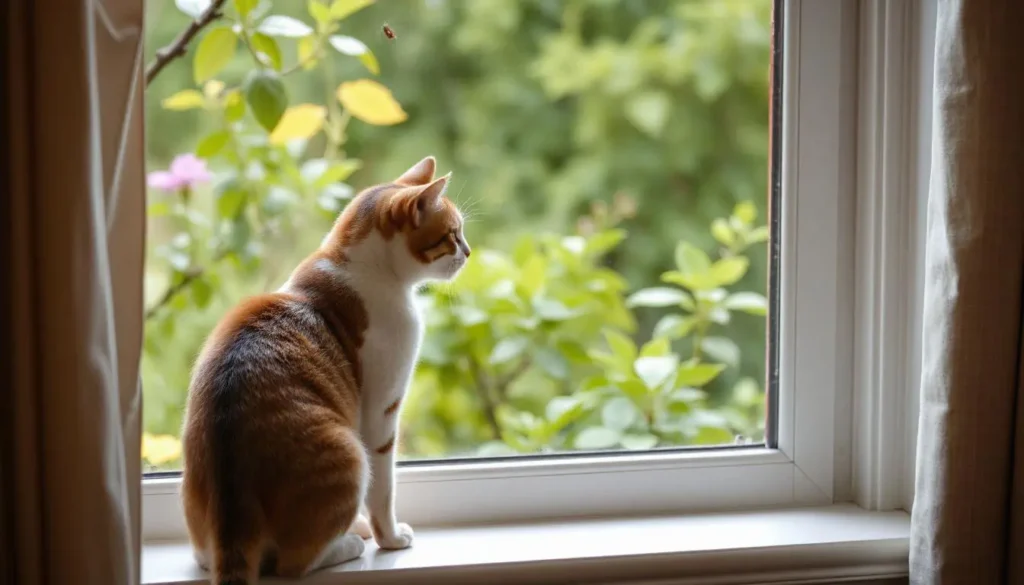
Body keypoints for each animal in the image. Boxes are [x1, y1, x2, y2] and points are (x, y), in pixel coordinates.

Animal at [182, 156, 468, 585]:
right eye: (452, 234)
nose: (468, 251)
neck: (353, 262)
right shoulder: (381, 413)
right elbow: (384, 492)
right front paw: (390, 538)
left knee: (207, 557)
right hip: (350, 453)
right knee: (291, 564)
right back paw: (349, 543)